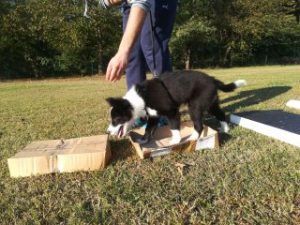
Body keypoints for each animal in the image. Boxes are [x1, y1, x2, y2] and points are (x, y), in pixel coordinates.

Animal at [105, 69, 246, 145]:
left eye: (116, 120)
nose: (107, 132)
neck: (141, 97)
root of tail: (213, 79)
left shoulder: (172, 111)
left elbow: (173, 127)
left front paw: (175, 141)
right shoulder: (153, 115)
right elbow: (148, 129)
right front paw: (144, 140)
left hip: (195, 106)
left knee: (199, 125)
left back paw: (193, 138)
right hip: (210, 103)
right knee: (220, 113)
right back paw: (225, 129)